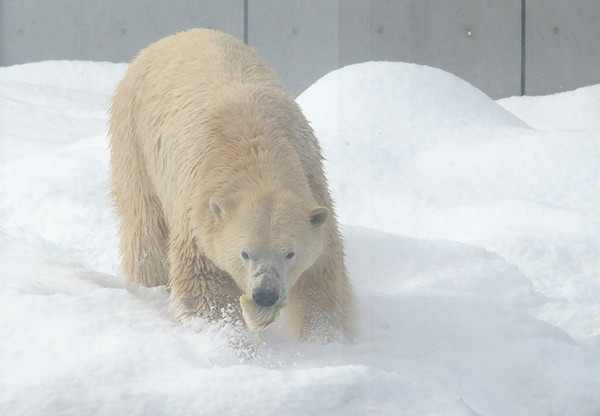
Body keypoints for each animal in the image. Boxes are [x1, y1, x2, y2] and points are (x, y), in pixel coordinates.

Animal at [108, 28, 354, 342]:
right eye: (245, 253)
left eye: (290, 252)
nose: (265, 294)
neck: (257, 152)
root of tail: (173, 37)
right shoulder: (199, 210)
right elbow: (205, 284)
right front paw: (234, 341)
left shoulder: (315, 188)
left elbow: (321, 276)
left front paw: (323, 341)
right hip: (136, 141)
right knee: (145, 226)